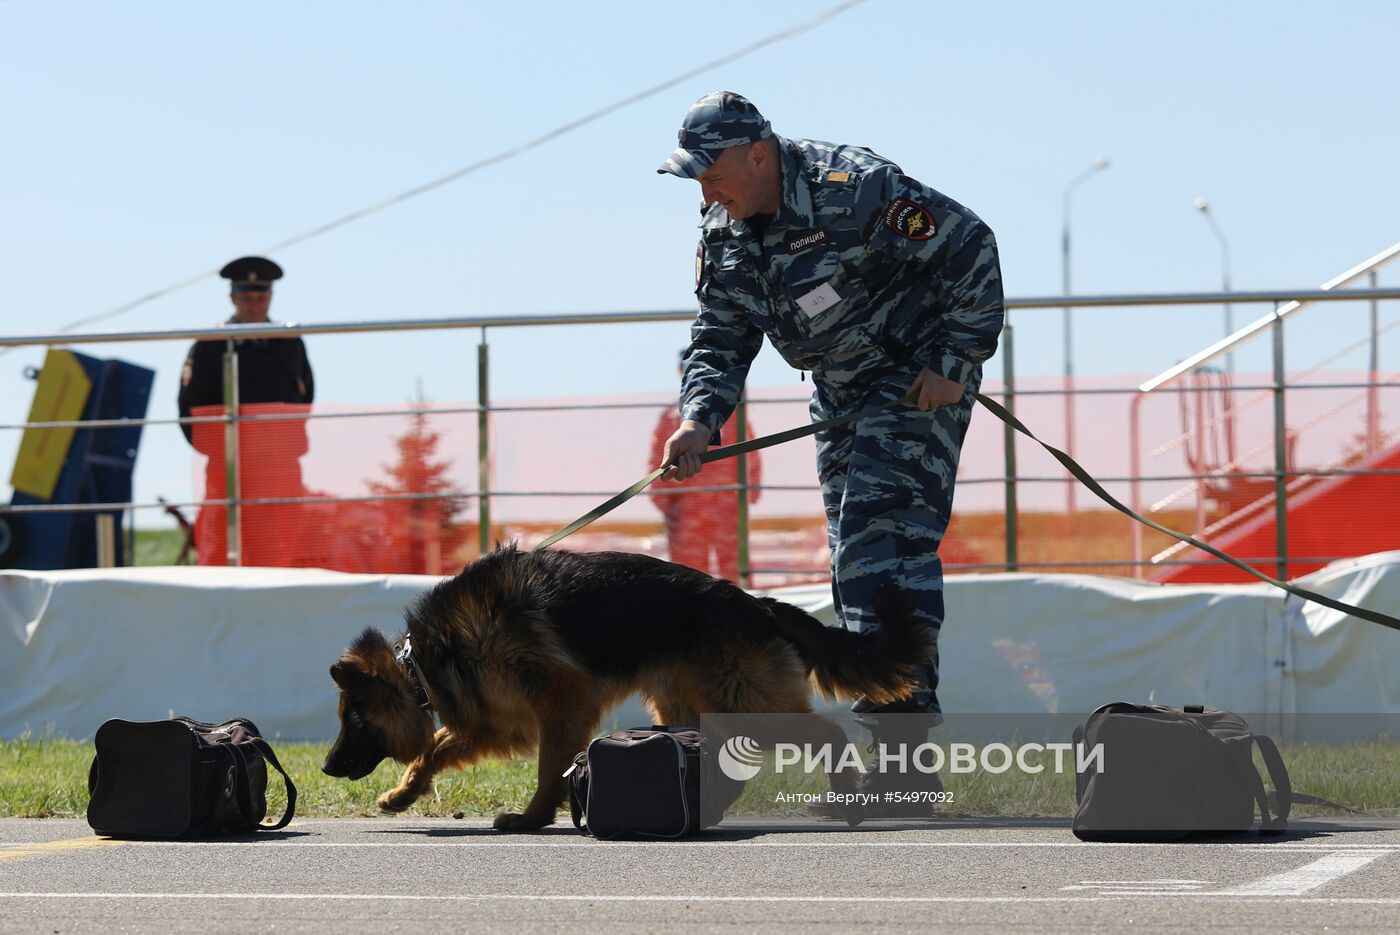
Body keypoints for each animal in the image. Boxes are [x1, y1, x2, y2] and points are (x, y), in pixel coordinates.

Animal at [319, 543, 929, 828]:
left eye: (353, 719)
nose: (324, 767)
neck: (423, 659)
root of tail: (758, 603)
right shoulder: (495, 718)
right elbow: (436, 750)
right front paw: (402, 794)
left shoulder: (563, 699)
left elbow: (549, 766)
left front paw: (533, 818)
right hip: (689, 703)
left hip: (745, 701)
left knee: (830, 734)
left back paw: (848, 798)